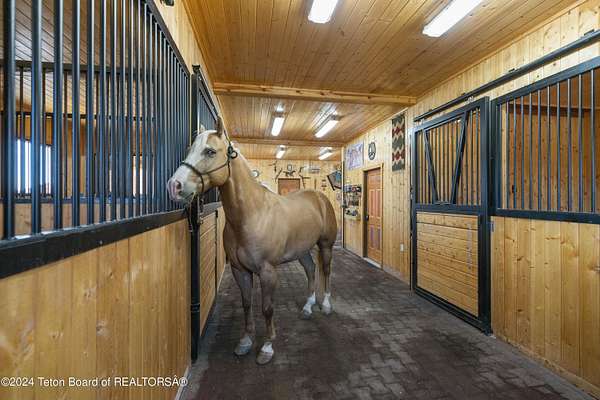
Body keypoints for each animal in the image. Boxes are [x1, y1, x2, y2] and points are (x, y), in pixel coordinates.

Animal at [167, 119, 338, 365]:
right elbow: (247, 303)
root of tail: (320, 197)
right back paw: (307, 307)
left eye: (210, 151)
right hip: (302, 250)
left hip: (325, 246)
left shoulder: (267, 271)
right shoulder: (240, 270)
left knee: (326, 270)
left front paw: (267, 347)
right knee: (310, 269)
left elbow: (267, 308)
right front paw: (246, 341)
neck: (253, 214)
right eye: (190, 149)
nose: (174, 186)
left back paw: (325, 305)